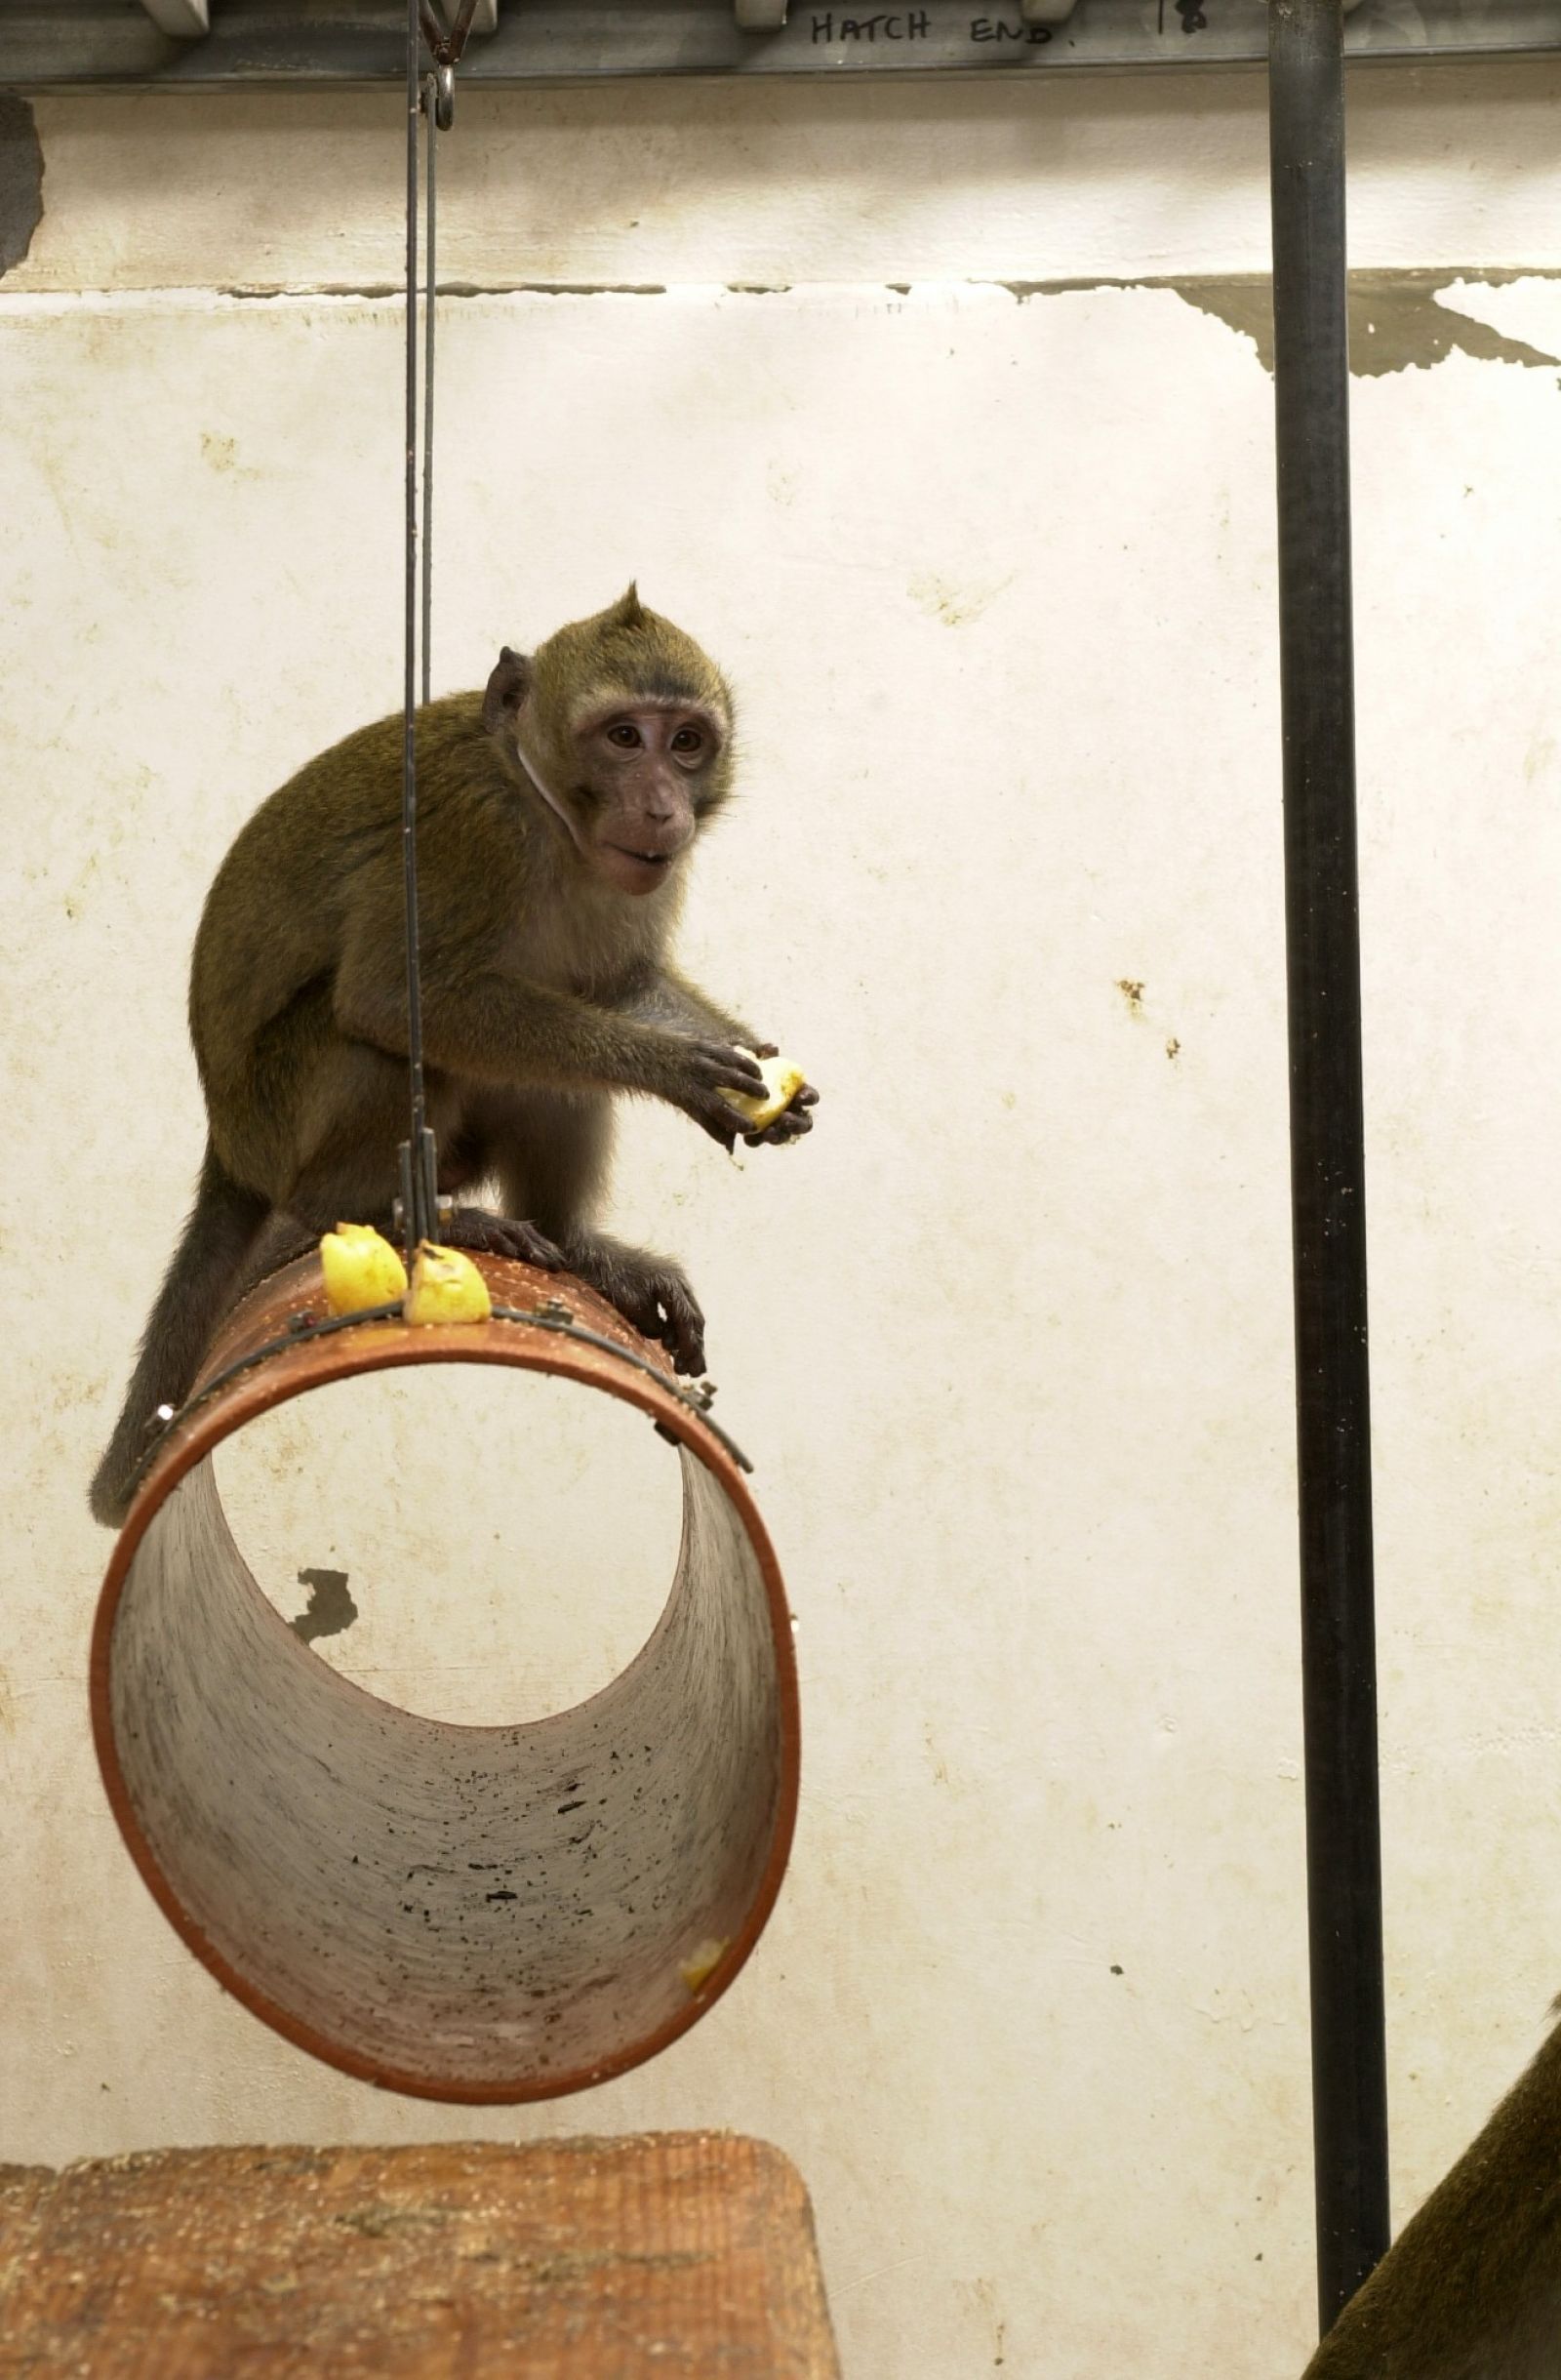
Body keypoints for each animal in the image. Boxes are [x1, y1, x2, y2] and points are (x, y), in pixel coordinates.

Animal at [91, 589, 819, 1522]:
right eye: (624, 737)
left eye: (686, 742)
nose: (663, 807)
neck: (548, 818)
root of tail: (231, 1145)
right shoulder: (474, 834)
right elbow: (387, 997)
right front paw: (673, 1068)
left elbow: (620, 983)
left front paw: (737, 1077)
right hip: (280, 1115)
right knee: (378, 1046)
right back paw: (373, 1210)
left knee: (550, 1080)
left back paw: (577, 1243)